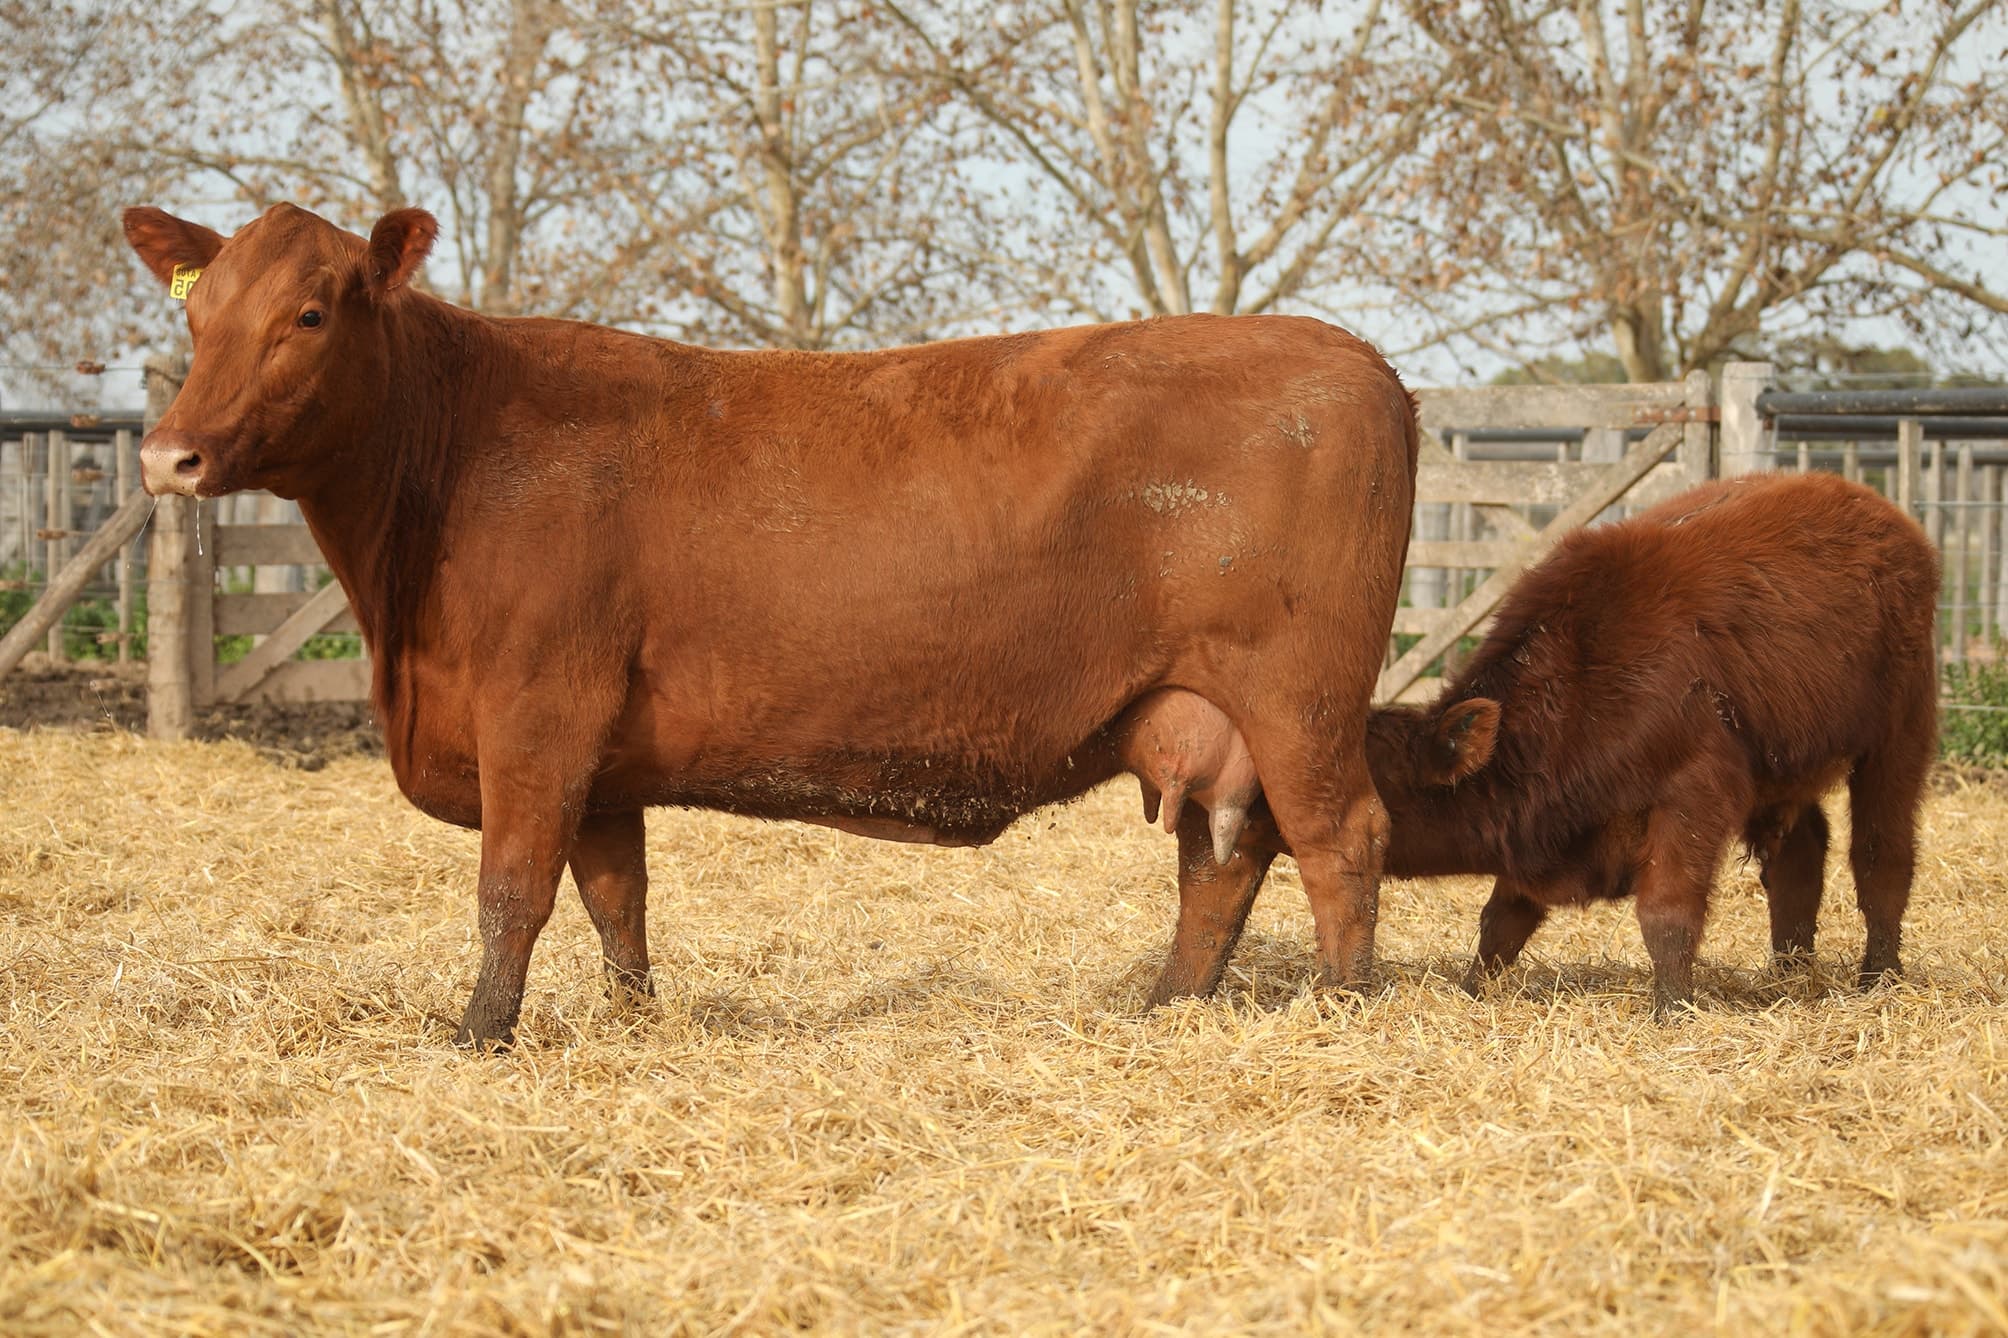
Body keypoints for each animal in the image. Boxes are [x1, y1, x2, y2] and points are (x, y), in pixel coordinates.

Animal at [123, 202, 1419, 1048]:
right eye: (199, 319)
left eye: (309, 313)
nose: (166, 455)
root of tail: (1356, 358)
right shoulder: (601, 762)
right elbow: (615, 896)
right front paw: (635, 1025)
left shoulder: (536, 713)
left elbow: (512, 889)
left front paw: (477, 1036)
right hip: (1201, 713)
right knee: (1224, 861)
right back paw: (1166, 1011)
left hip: (1298, 697)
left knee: (1341, 837)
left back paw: (1344, 1015)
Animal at [1363, 471, 1940, 1014]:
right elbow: (1503, 919)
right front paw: (1473, 991)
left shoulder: (1693, 797)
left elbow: (1666, 914)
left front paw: (1673, 1008)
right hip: (1785, 763)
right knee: (1801, 854)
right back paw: (1789, 972)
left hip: (1899, 735)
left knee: (1882, 854)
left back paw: (1880, 977)